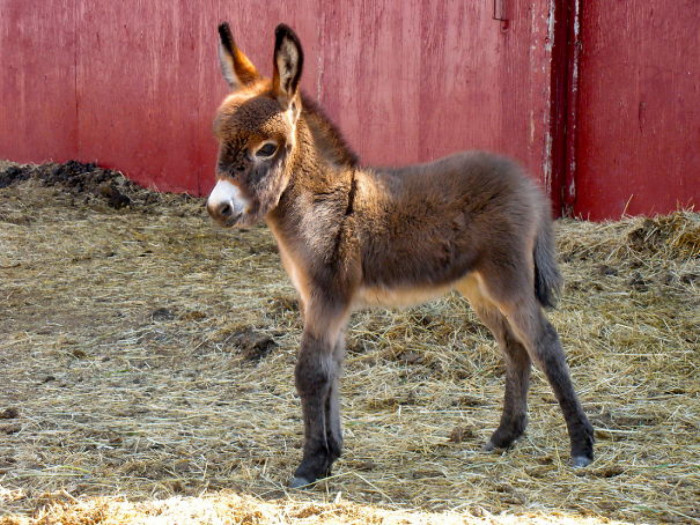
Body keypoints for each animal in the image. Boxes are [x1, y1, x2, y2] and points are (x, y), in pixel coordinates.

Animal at [205, 20, 592, 488]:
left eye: (266, 148)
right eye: (221, 141)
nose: (219, 208)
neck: (326, 202)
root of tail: (530, 184)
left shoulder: (327, 296)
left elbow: (311, 372)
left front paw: (310, 464)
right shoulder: (327, 302)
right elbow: (333, 367)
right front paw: (332, 453)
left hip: (508, 278)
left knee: (545, 343)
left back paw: (581, 447)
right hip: (477, 286)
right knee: (515, 348)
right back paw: (505, 435)